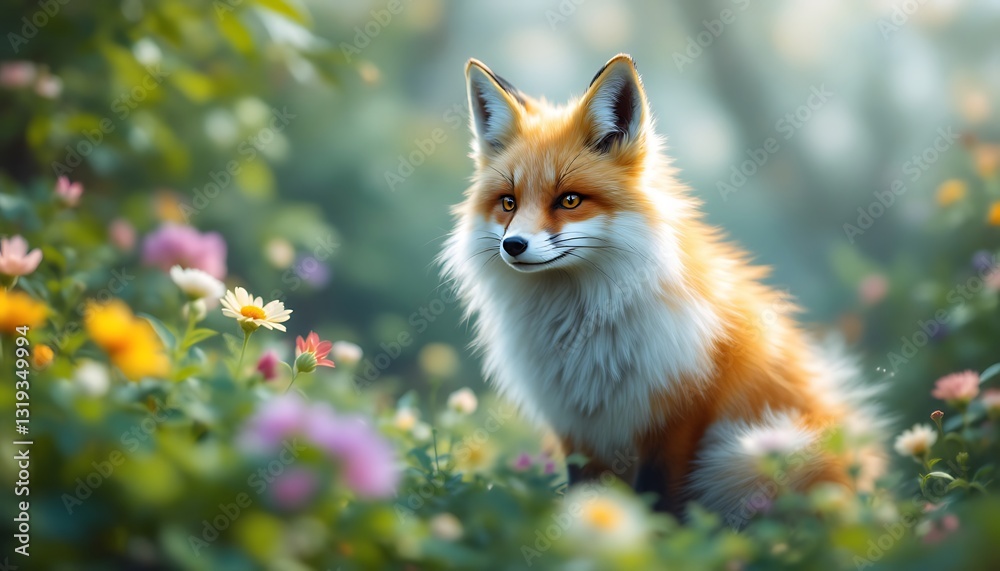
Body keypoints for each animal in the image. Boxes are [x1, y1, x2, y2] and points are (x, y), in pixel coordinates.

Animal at [441, 54, 886, 523]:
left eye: (569, 200)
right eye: (508, 202)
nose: (513, 245)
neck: (584, 332)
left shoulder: (676, 419)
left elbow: (659, 502)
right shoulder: (577, 426)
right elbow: (586, 495)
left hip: (746, 453)